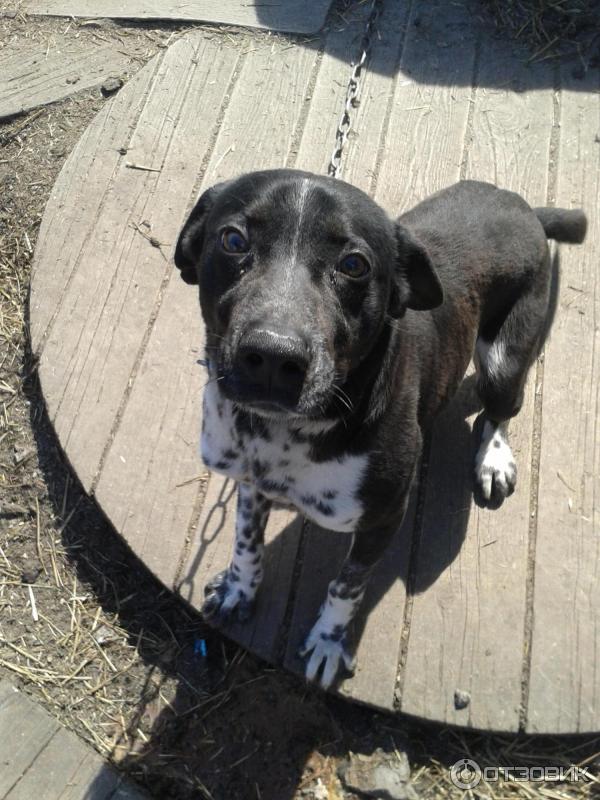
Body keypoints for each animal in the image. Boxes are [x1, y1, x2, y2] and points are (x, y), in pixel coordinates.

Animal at [173, 172, 584, 692]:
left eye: (354, 265)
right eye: (233, 240)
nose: (271, 357)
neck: (286, 432)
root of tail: (527, 208)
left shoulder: (384, 518)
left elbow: (346, 586)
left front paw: (329, 642)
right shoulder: (250, 483)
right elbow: (246, 541)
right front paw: (239, 588)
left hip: (503, 359)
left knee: (498, 410)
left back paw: (492, 458)